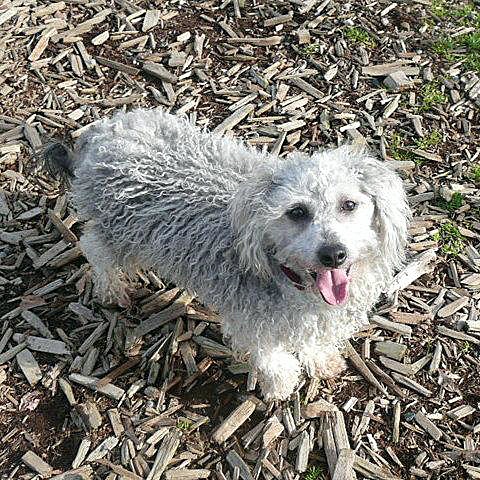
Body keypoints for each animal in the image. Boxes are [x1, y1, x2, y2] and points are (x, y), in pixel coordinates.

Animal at [45, 108, 410, 402]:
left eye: (349, 204)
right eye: (297, 212)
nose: (333, 254)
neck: (291, 281)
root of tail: (101, 132)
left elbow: (310, 342)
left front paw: (321, 360)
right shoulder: (251, 324)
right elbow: (271, 360)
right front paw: (280, 386)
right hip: (119, 234)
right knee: (93, 247)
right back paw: (112, 289)